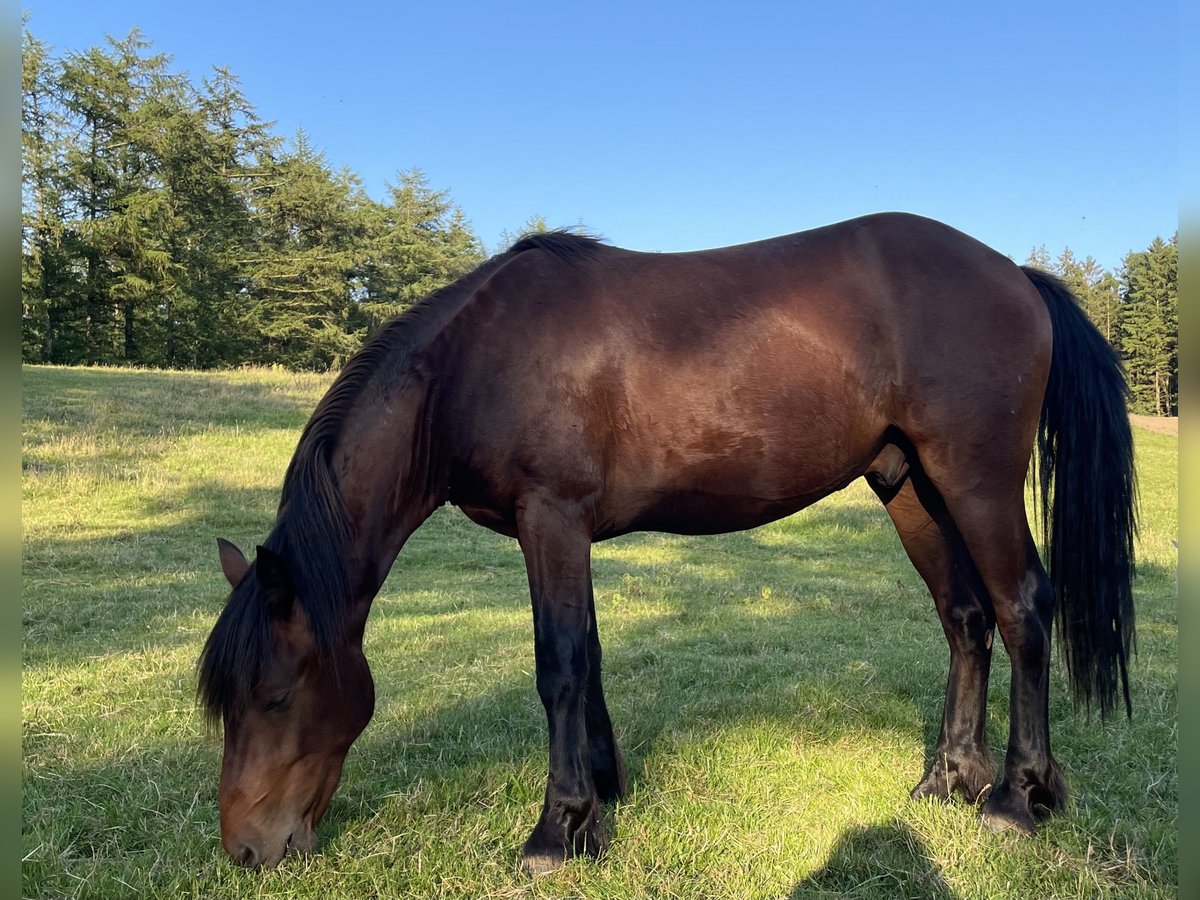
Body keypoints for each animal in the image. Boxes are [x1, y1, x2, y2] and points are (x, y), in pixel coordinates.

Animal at [196, 211, 1132, 873]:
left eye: (274, 697)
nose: (247, 848)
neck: (473, 364)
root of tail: (1015, 274)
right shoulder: (566, 532)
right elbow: (590, 658)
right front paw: (601, 798)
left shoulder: (551, 519)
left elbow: (558, 665)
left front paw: (556, 831)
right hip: (911, 486)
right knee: (965, 618)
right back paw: (949, 781)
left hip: (975, 484)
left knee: (1021, 609)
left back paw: (1016, 798)